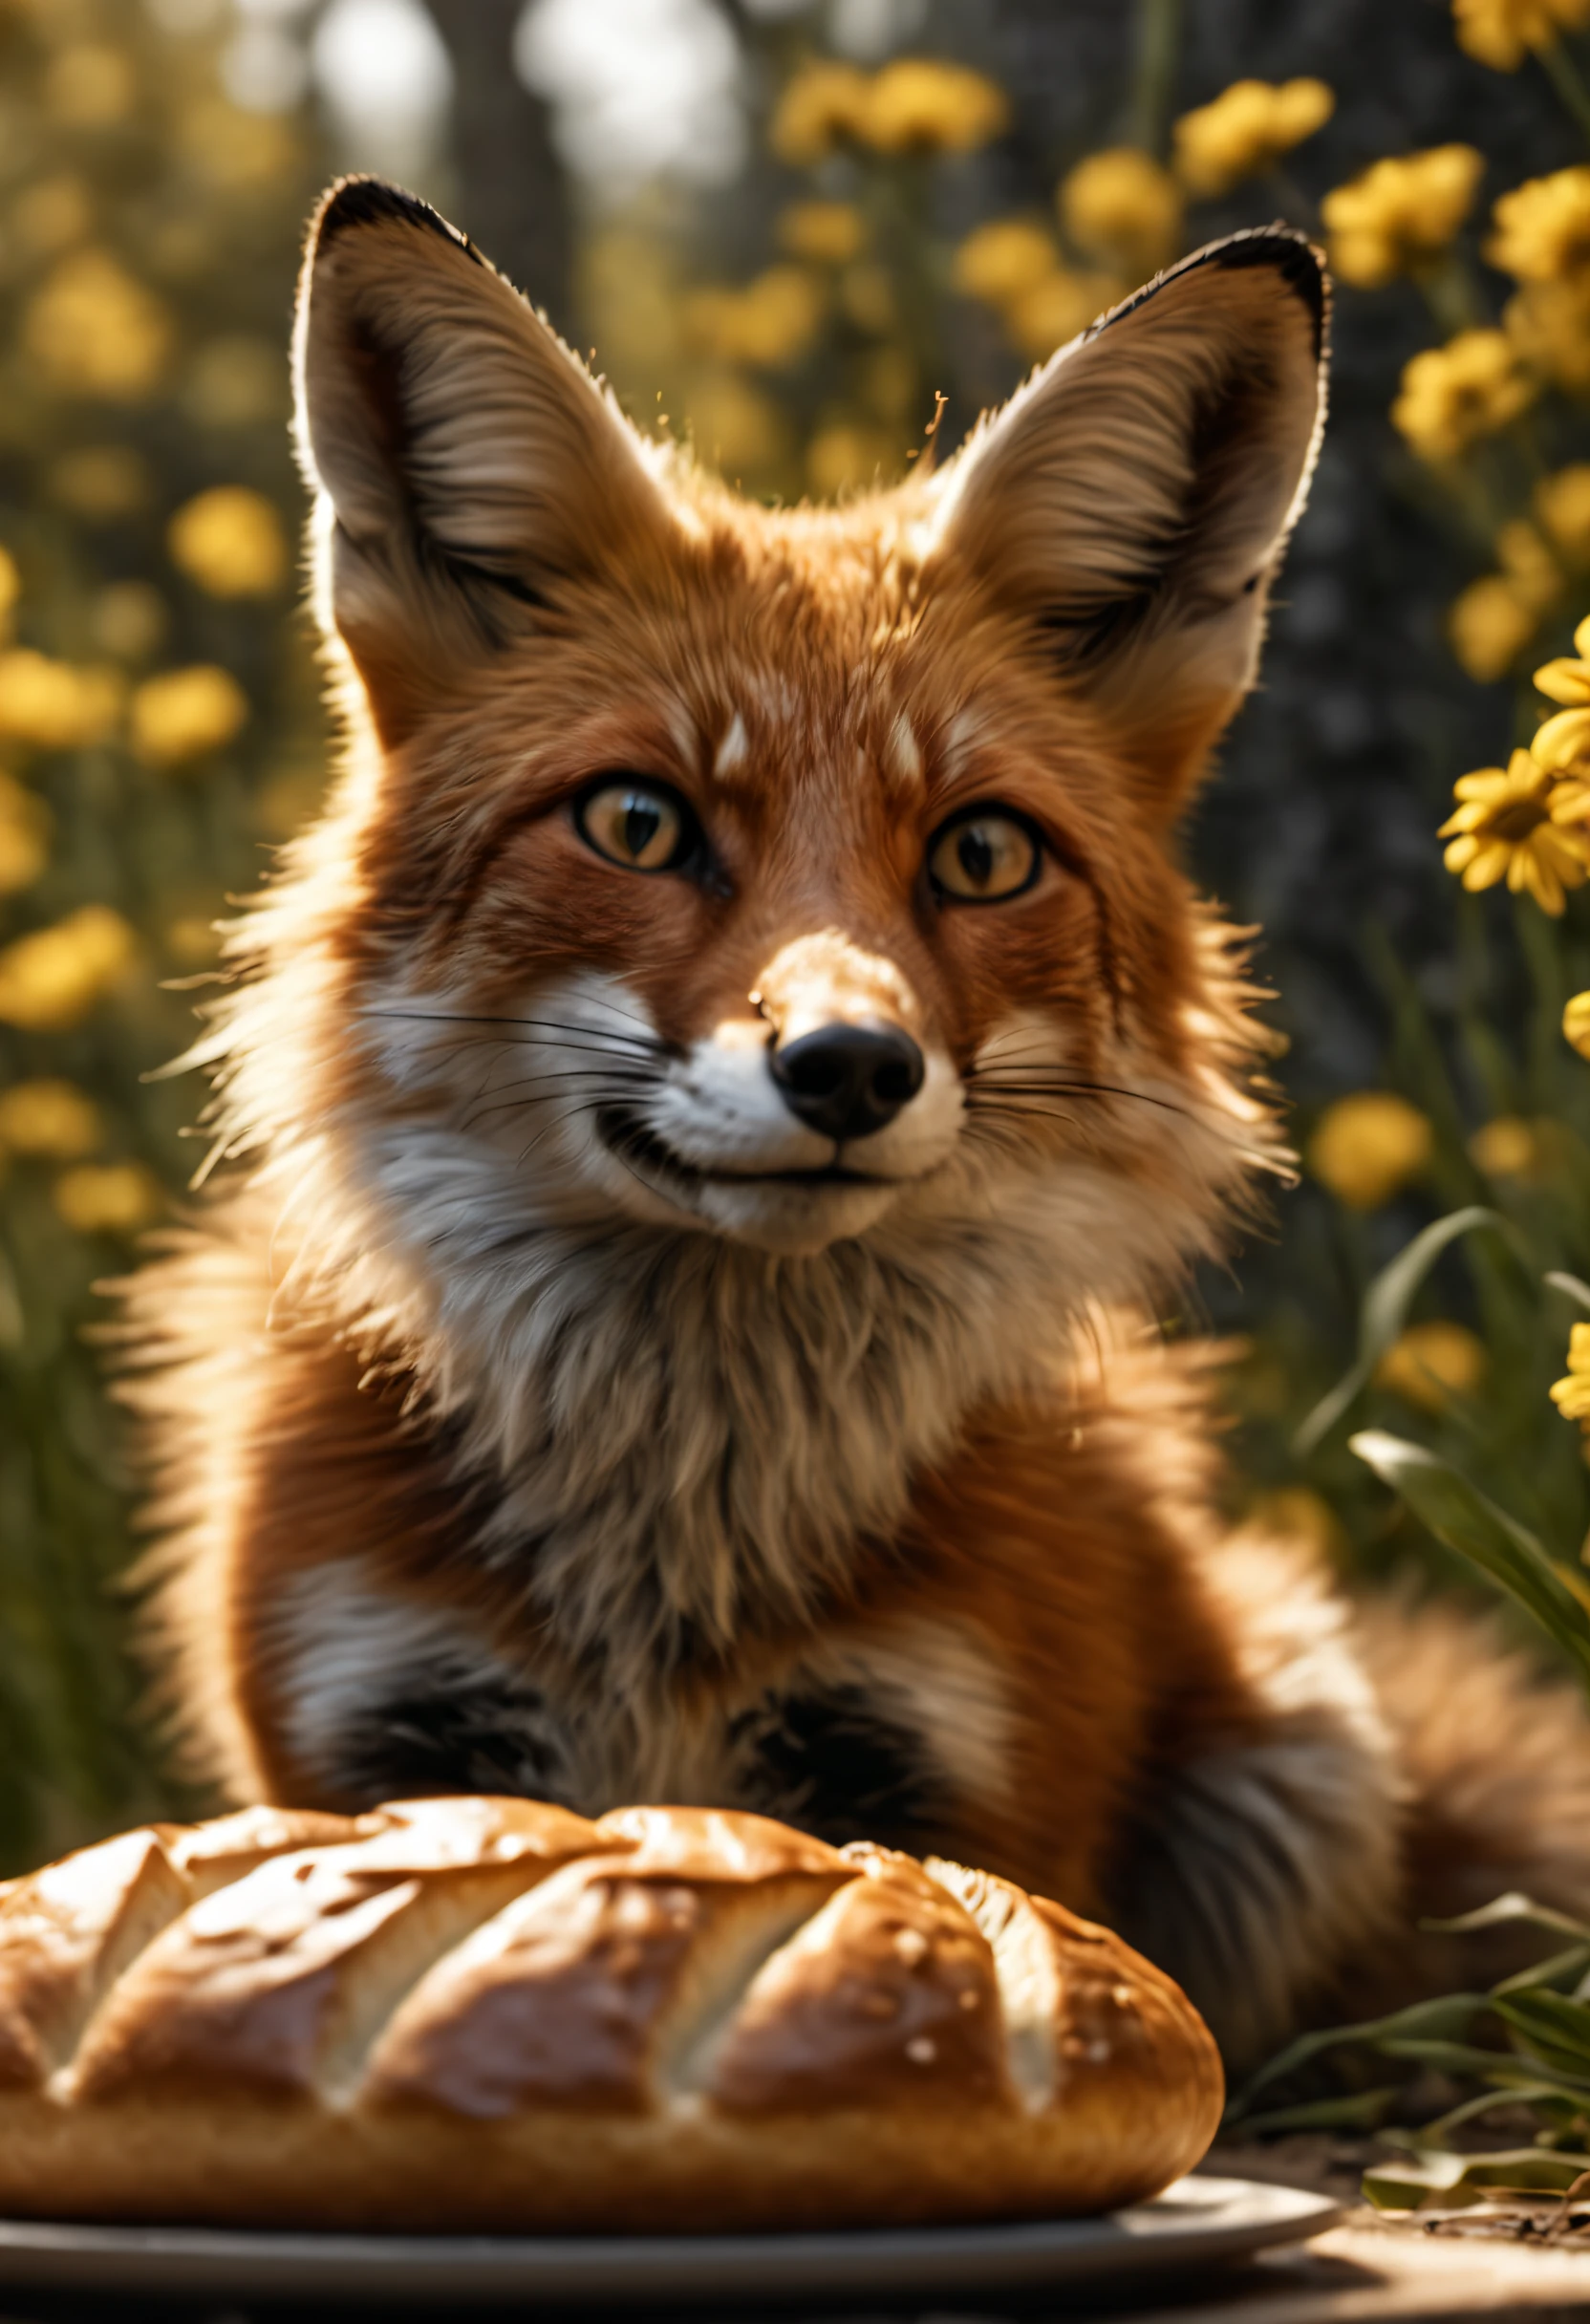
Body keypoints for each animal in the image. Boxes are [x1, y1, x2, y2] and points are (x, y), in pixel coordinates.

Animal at [120, 185, 1590, 2073]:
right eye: (637, 822)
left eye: (979, 852)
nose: (848, 1067)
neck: (676, 1534)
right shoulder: (361, 1735)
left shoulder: (962, 1768)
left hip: (1303, 1743)